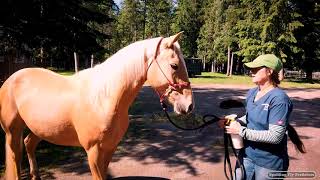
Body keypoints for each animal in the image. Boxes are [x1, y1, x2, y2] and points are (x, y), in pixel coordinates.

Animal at [0, 32, 194, 180]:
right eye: (174, 65)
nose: (189, 105)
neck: (104, 97)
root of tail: (10, 79)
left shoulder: (109, 148)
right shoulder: (93, 151)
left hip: (40, 129)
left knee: (28, 144)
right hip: (12, 130)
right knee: (14, 155)